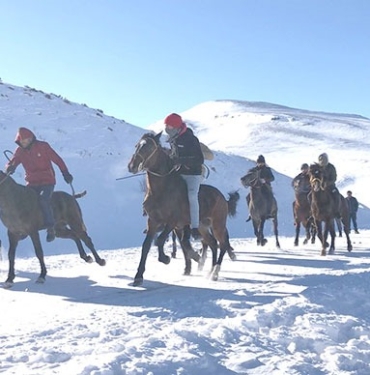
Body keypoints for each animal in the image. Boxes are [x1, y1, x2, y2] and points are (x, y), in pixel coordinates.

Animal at [126, 131, 240, 286]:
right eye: (137, 145)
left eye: (149, 147)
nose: (132, 166)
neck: (161, 190)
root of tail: (223, 198)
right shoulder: (153, 221)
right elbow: (146, 246)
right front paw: (138, 276)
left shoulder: (172, 222)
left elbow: (160, 240)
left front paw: (166, 258)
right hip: (203, 226)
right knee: (212, 243)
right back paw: (209, 270)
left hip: (218, 224)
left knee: (222, 244)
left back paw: (215, 273)